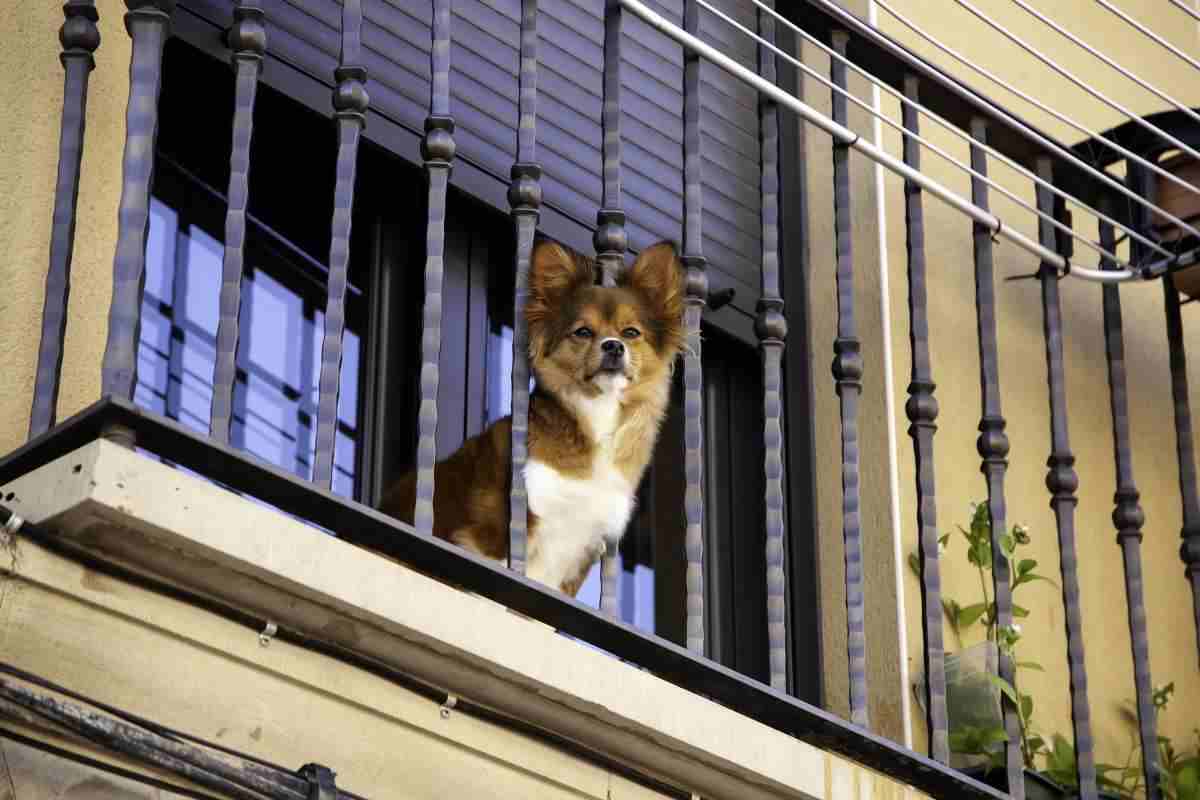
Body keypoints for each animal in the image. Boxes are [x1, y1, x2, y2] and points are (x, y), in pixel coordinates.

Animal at [379, 241, 691, 597]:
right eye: (583, 332)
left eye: (631, 332)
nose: (613, 346)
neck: (596, 415)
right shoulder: (503, 527)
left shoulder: (584, 546)